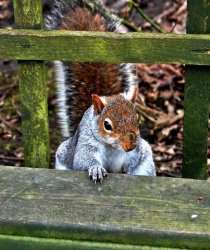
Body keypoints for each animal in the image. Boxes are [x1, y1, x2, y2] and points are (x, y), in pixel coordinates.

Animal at [43, 0, 156, 182]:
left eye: (136, 119)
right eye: (107, 125)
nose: (130, 146)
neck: (112, 147)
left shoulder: (138, 151)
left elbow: (134, 160)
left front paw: (129, 170)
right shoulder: (85, 146)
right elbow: (83, 161)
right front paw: (96, 169)